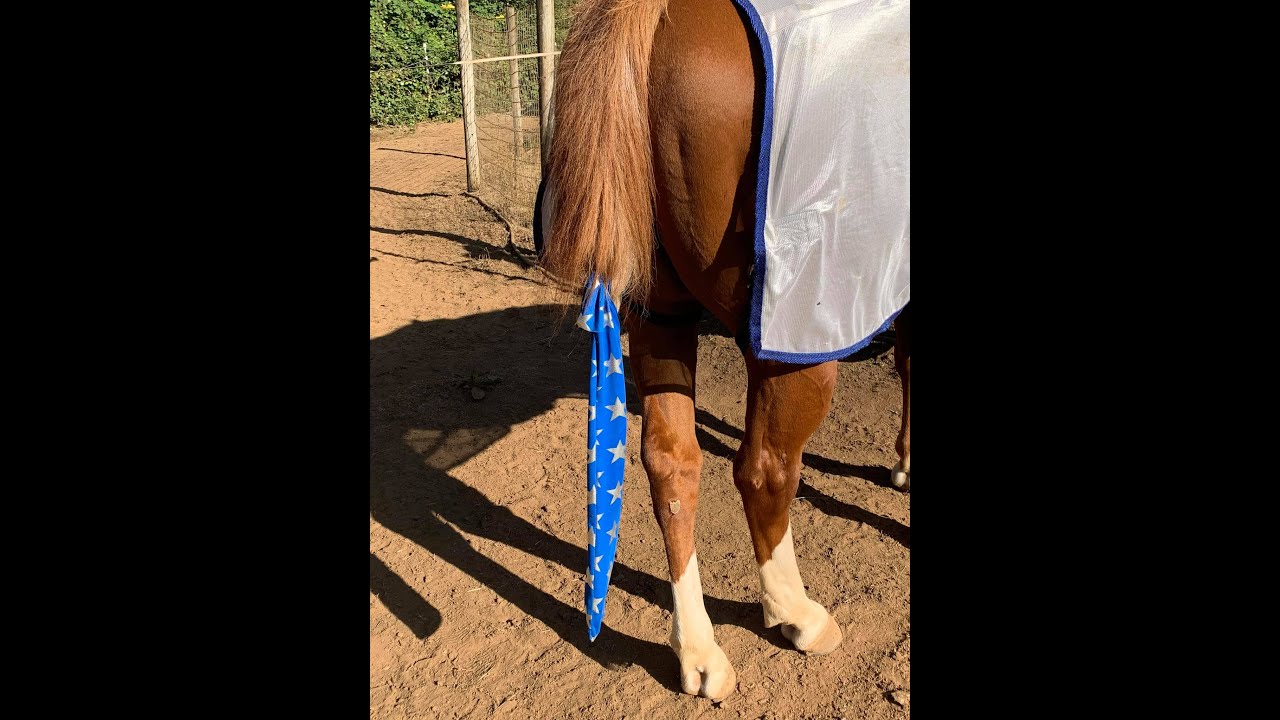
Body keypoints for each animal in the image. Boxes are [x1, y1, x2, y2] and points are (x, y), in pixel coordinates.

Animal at [539, 0, 910, 700]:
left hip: (658, 312)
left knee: (672, 466)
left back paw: (698, 650)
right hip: (791, 336)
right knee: (763, 469)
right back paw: (795, 614)